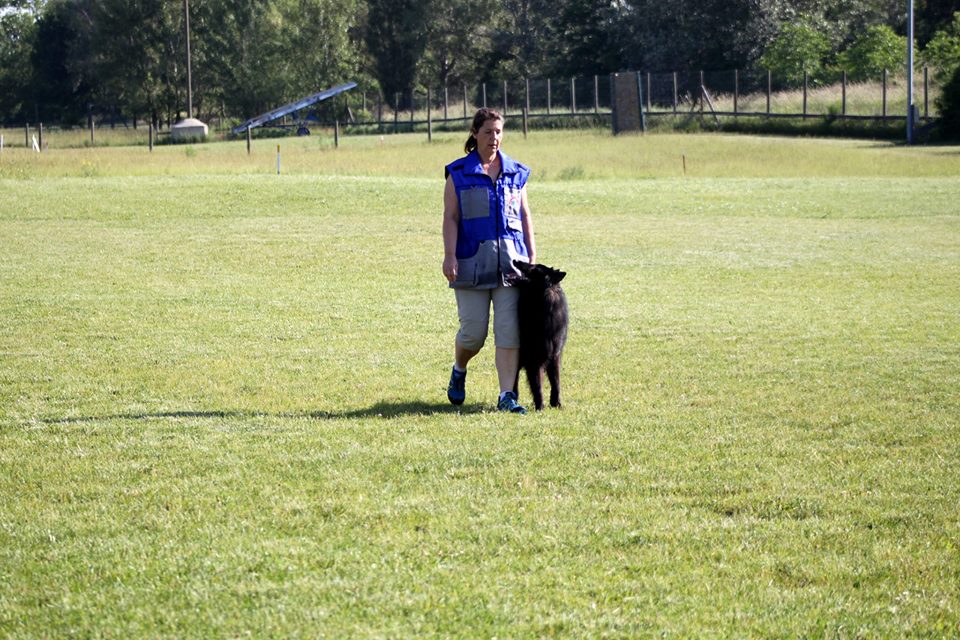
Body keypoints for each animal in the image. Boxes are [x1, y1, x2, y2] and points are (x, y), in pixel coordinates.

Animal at [511, 260, 568, 410]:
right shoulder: (534, 360)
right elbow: (537, 385)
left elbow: (556, 382)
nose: (516, 260)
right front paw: (540, 406)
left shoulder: (554, 356)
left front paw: (556, 403)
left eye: (535, 268)